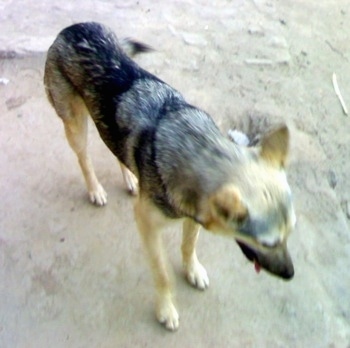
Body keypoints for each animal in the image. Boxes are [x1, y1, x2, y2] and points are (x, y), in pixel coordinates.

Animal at [43, 22, 296, 332]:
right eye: (268, 243)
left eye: (290, 233)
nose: (291, 274)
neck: (196, 148)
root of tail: (75, 27)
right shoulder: (146, 224)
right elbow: (162, 274)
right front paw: (166, 310)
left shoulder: (193, 215)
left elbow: (188, 246)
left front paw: (192, 271)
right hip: (75, 125)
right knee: (84, 157)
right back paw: (96, 190)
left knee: (116, 148)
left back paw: (130, 178)